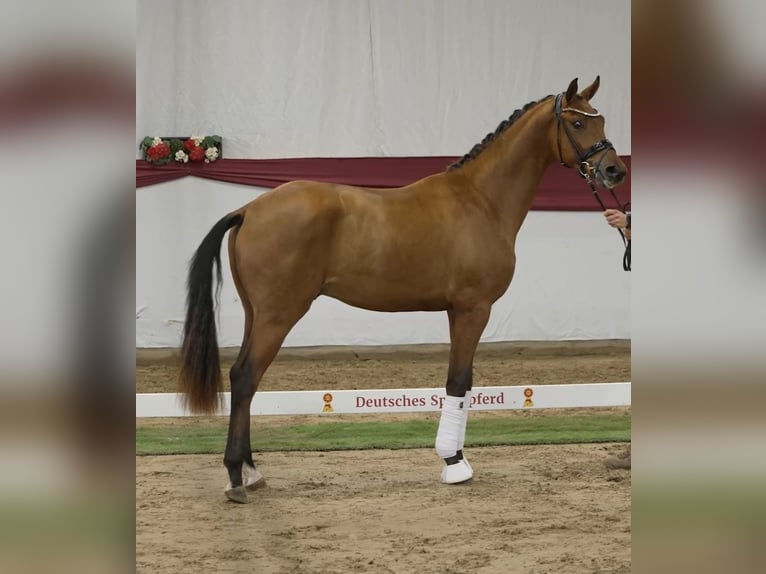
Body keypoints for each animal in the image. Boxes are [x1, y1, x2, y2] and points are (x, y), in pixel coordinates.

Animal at [178, 77, 627, 503]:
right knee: (245, 378)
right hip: (278, 315)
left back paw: (251, 471)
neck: (480, 200)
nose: (614, 171)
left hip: (256, 314)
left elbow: (461, 381)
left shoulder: (456, 310)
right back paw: (236, 476)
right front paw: (455, 463)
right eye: (578, 123)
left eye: (601, 119)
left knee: (245, 383)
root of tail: (249, 210)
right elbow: (458, 381)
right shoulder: (473, 308)